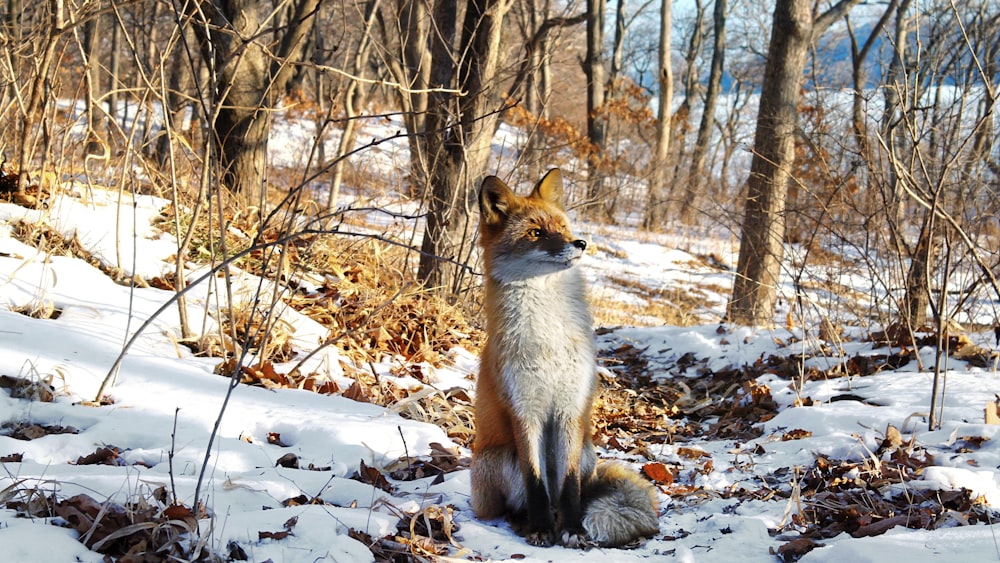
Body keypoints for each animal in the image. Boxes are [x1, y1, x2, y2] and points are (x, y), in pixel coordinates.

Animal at [470, 170, 660, 548]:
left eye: (561, 226)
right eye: (535, 233)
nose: (580, 243)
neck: (550, 338)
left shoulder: (569, 409)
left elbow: (570, 486)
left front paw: (573, 528)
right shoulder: (525, 410)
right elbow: (535, 483)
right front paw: (542, 528)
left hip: (587, 453)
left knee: (576, 490)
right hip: (495, 460)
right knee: (510, 505)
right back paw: (524, 521)